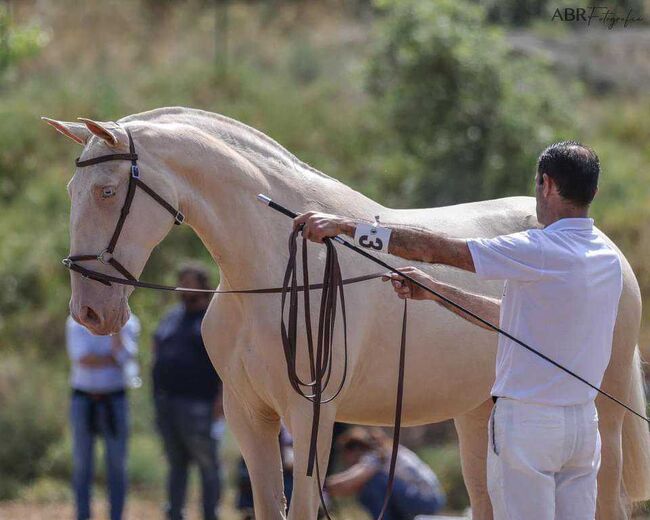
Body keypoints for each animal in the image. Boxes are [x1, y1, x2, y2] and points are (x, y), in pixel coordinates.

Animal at [45, 107, 648, 516]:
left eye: (105, 191)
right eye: (71, 190)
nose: (90, 312)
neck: (270, 269)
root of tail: (607, 247)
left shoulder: (312, 417)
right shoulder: (248, 416)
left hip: (604, 417)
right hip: (480, 415)